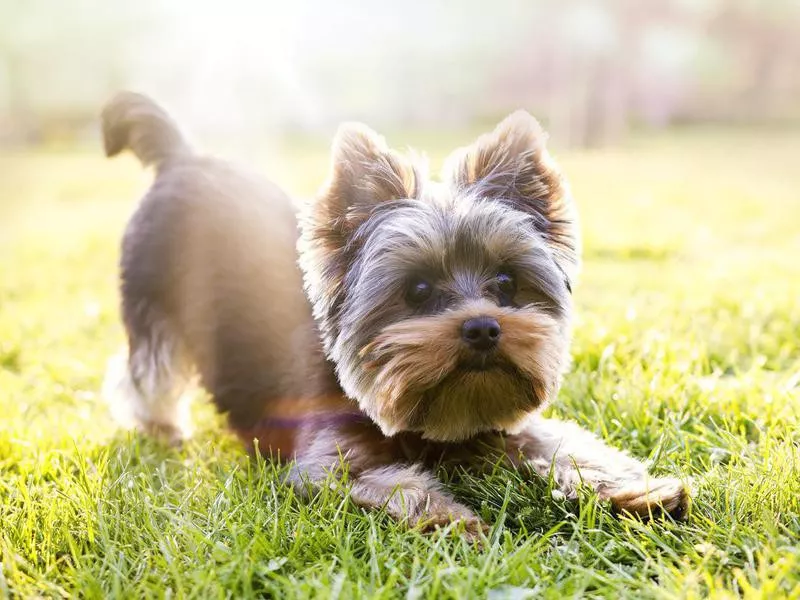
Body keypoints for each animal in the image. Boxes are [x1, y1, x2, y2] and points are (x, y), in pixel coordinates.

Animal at [100, 91, 688, 536]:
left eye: (505, 283)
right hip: (150, 300)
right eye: (418, 290)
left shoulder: (499, 422)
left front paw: (637, 490)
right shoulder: (327, 464)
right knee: (145, 371)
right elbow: (396, 484)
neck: (431, 421)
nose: (482, 327)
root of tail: (181, 157)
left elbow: (565, 446)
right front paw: (453, 520)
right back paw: (161, 428)